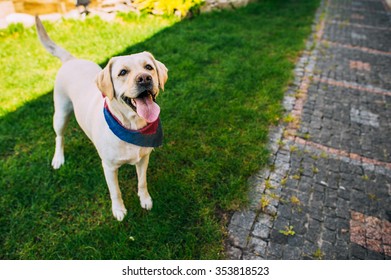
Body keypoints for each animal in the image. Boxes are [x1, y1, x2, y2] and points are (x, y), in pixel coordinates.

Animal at [34, 16, 167, 221]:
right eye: (122, 72)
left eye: (148, 67)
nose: (145, 78)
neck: (131, 126)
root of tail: (72, 60)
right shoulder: (109, 168)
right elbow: (116, 192)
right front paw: (119, 210)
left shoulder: (144, 158)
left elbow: (142, 182)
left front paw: (145, 200)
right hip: (61, 113)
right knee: (59, 137)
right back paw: (58, 158)